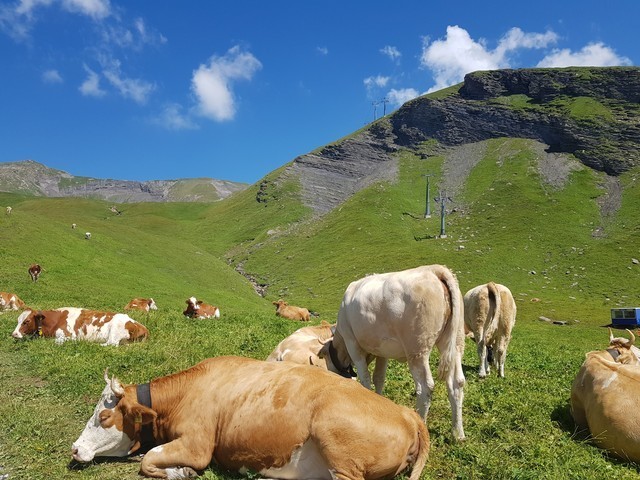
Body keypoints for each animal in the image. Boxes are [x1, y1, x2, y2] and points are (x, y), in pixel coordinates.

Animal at [11, 308, 149, 346]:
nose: (14, 334)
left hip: (115, 331)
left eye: (26, 321)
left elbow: (56, 342)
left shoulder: (69, 336)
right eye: (18, 320)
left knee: (111, 344)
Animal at [71, 356, 429, 480]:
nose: (75, 449)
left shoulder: (198, 445)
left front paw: (179, 472)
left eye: (104, 415)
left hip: (342, 454)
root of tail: (407, 412)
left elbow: (148, 460)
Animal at [326, 264, 466, 441]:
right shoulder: (381, 351)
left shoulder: (352, 344)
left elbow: (365, 379)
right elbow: (379, 378)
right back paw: (458, 433)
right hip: (455, 342)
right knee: (457, 383)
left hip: (417, 349)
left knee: (425, 387)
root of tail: (434, 269)